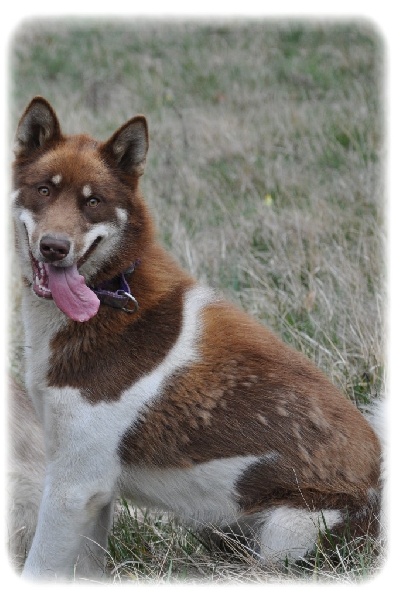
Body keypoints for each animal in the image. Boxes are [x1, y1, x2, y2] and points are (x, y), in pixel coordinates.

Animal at [11, 96, 382, 580]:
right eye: (43, 191)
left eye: (93, 201)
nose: (54, 247)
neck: (107, 290)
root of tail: (379, 484)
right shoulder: (92, 491)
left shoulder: (74, 487)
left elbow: (40, 565)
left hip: (286, 536)